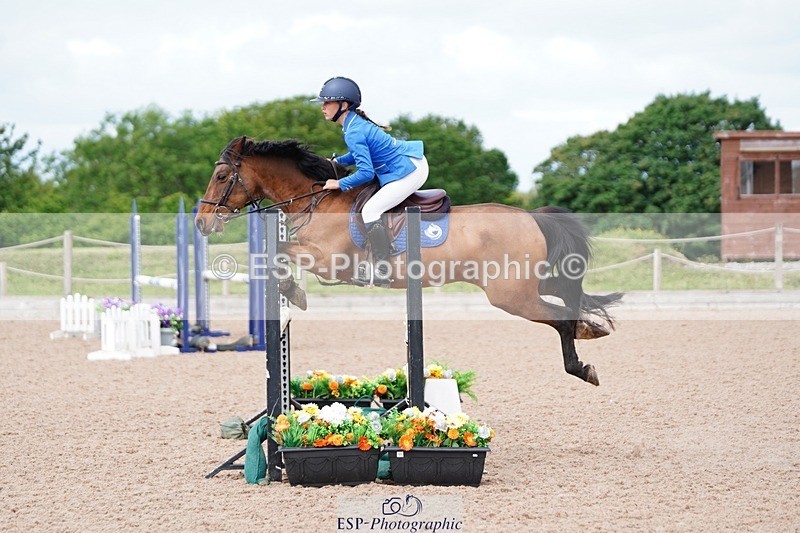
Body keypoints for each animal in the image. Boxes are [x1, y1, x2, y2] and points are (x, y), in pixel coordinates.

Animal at [195, 136, 622, 386]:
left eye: (221, 176)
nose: (201, 222)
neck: (317, 200)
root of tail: (530, 215)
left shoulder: (330, 261)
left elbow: (279, 254)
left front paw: (294, 293)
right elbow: (277, 254)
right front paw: (292, 291)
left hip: (511, 296)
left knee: (560, 318)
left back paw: (582, 365)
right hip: (520, 284)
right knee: (564, 291)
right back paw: (592, 327)